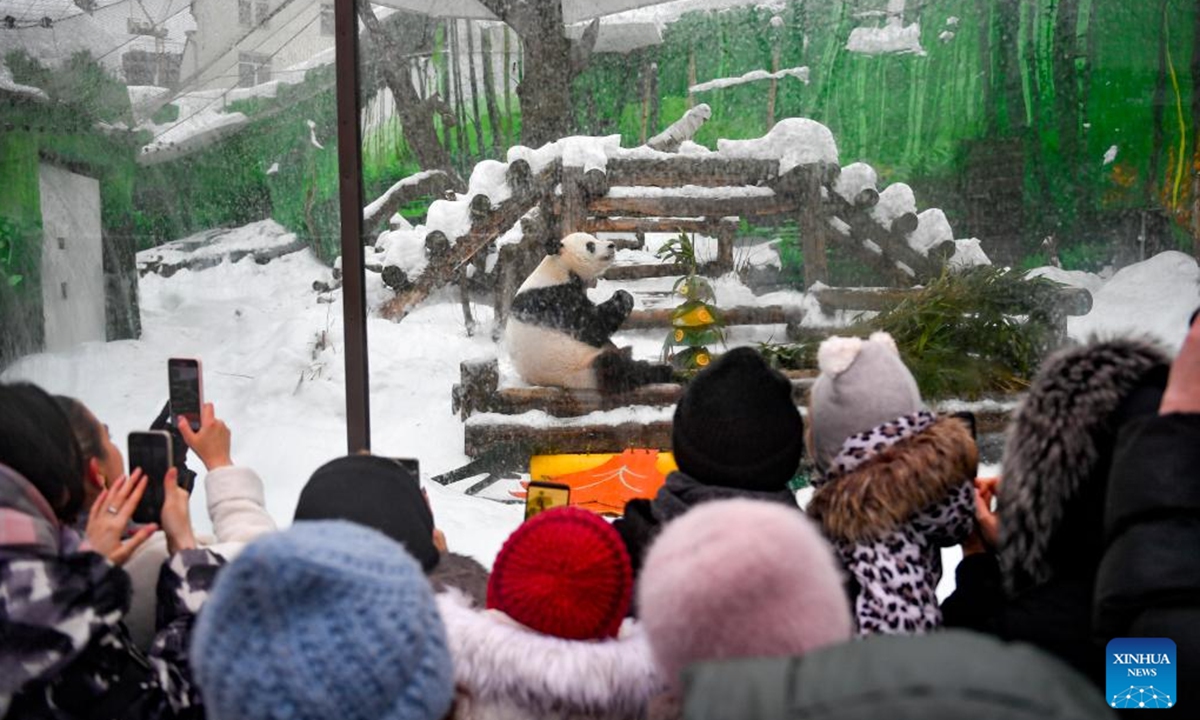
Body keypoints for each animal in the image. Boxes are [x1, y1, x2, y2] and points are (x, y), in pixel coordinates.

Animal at [504, 231, 676, 393]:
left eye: (595, 239)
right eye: (590, 245)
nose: (611, 245)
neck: (560, 268)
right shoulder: (554, 301)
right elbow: (592, 325)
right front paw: (622, 296)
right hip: (581, 365)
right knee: (620, 369)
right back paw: (663, 371)